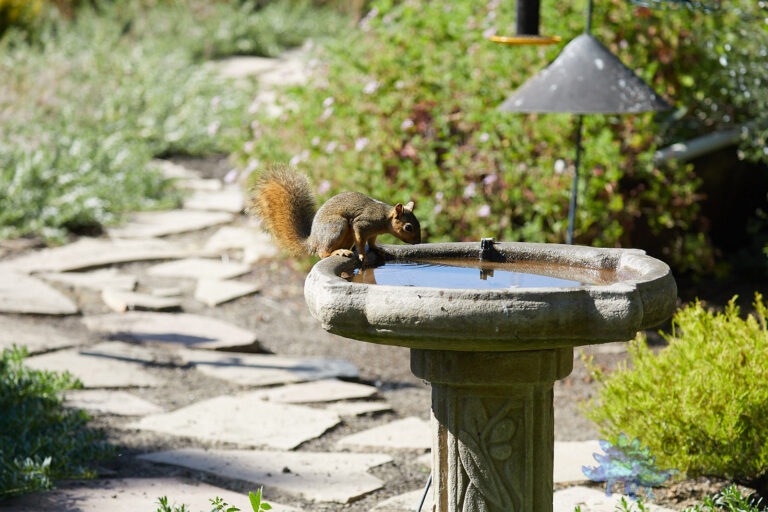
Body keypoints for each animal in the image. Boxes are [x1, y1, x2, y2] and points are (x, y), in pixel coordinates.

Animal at [248, 165, 421, 263]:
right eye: (408, 227)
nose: (418, 242)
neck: (384, 218)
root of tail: (313, 240)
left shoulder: (372, 233)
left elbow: (371, 243)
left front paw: (378, 249)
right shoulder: (362, 224)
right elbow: (361, 241)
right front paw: (362, 256)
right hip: (337, 226)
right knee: (322, 253)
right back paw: (339, 252)